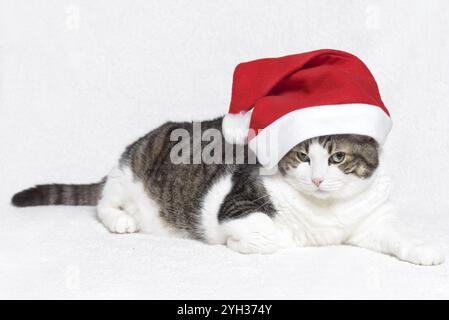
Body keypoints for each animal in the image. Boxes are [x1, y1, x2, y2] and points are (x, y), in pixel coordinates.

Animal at [12, 117, 442, 264]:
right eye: (303, 155)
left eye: (337, 157)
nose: (318, 179)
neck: (327, 210)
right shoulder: (236, 203)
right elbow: (276, 237)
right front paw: (244, 242)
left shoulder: (371, 220)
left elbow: (398, 235)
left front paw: (425, 250)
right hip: (127, 175)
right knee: (102, 203)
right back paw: (120, 219)